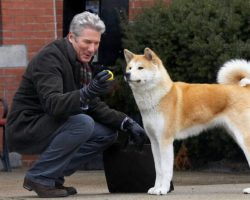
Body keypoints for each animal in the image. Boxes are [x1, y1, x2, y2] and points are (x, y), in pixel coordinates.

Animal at [124, 47, 250, 195]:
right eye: (130, 68)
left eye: (140, 68)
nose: (126, 74)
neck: (159, 97)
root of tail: (245, 88)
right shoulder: (155, 142)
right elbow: (158, 169)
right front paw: (156, 188)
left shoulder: (165, 141)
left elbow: (166, 169)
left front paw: (163, 189)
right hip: (235, 135)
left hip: (243, 137)